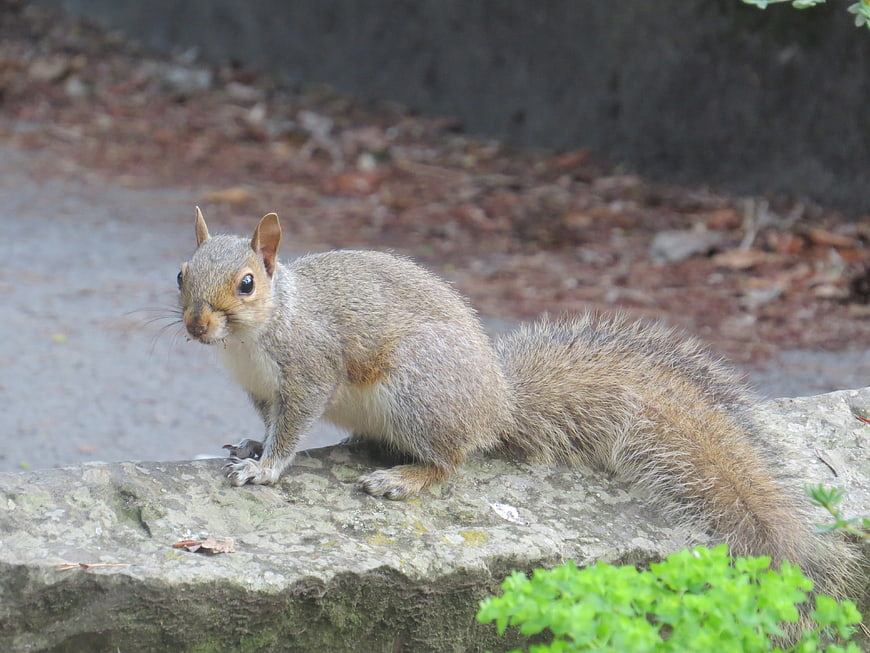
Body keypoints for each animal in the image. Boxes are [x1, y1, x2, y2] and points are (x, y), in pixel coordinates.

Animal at [177, 208, 859, 602]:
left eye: (247, 283)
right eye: (181, 274)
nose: (195, 326)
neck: (256, 334)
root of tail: (497, 406)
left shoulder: (310, 370)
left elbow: (293, 426)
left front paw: (267, 467)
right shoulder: (261, 388)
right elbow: (270, 422)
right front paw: (252, 445)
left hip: (418, 393)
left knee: (450, 461)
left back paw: (405, 477)